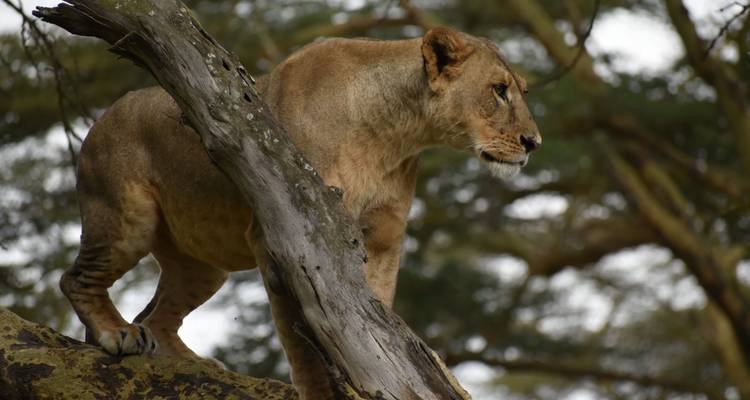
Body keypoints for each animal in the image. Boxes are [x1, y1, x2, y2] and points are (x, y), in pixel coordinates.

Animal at [63, 27, 540, 398]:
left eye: (519, 90)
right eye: (499, 90)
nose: (533, 142)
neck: (393, 133)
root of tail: (99, 120)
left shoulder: (384, 238)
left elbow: (370, 325)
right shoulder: (286, 236)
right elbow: (304, 342)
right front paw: (320, 391)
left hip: (203, 267)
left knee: (156, 317)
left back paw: (193, 365)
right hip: (126, 218)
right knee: (76, 279)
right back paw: (118, 334)